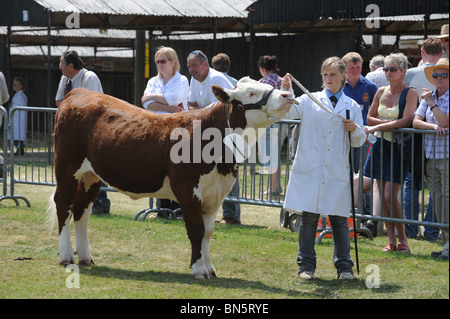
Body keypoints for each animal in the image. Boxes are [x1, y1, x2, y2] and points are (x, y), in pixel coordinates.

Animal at [50, 76, 296, 278]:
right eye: (251, 93)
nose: (286, 95)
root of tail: (79, 92)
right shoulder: (188, 190)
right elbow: (196, 230)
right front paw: (199, 269)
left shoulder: (215, 194)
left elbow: (208, 233)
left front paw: (209, 268)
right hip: (66, 167)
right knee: (64, 205)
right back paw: (66, 256)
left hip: (91, 175)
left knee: (82, 210)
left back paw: (85, 256)